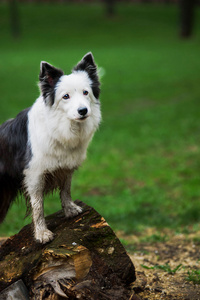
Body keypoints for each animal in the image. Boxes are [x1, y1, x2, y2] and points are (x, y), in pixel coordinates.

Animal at [0, 52, 100, 244]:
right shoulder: (34, 174)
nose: (83, 111)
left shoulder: (66, 165)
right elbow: (38, 206)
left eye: (85, 92)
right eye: (65, 96)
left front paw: (70, 210)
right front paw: (42, 234)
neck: (59, 127)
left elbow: (66, 189)